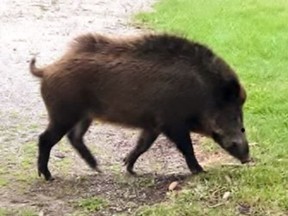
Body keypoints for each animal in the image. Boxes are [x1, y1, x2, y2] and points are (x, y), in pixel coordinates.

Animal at [29, 32, 250, 181]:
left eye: (242, 126)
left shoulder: (153, 124)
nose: (248, 159)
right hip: (63, 113)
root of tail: (47, 70)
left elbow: (143, 145)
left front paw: (129, 168)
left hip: (84, 116)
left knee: (74, 137)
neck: (204, 94)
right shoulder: (172, 122)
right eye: (235, 116)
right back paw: (48, 176)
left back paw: (98, 168)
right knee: (45, 138)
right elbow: (186, 147)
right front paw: (201, 171)